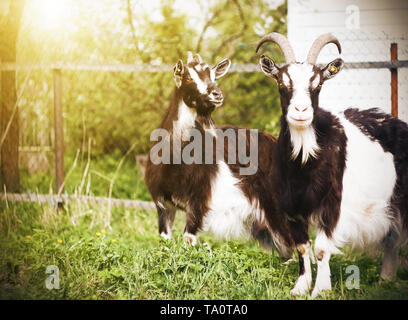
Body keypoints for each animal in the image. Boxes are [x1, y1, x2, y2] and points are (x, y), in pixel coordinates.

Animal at [256, 33, 408, 298]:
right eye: (282, 84)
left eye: (317, 85)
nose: (301, 111)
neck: (304, 162)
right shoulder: (292, 206)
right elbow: (302, 247)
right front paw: (300, 288)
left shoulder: (332, 204)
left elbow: (321, 249)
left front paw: (320, 290)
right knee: (391, 237)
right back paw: (386, 280)